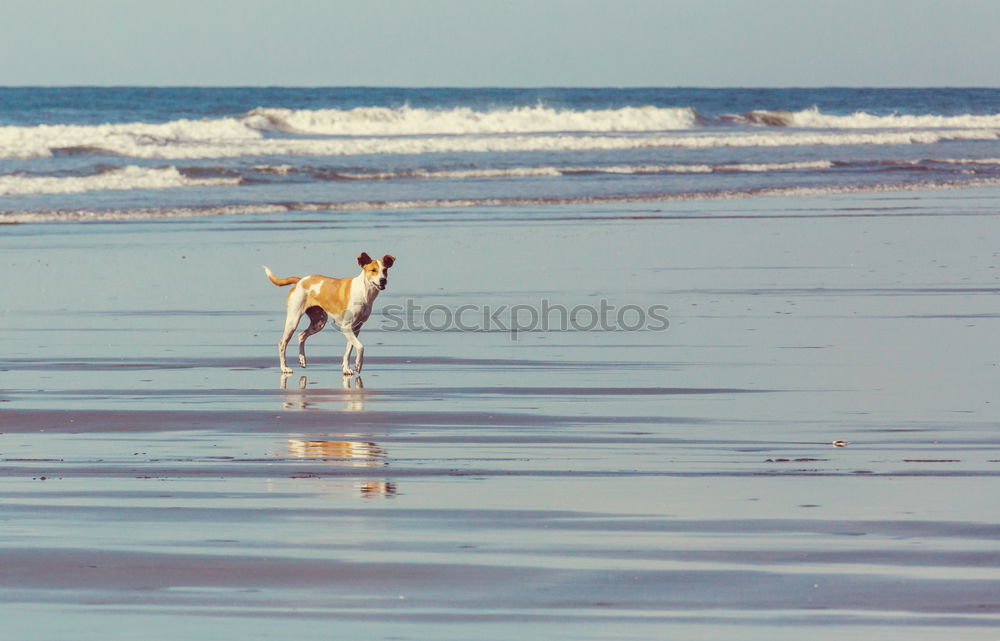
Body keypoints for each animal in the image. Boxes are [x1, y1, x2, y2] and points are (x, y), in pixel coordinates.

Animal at [264, 252, 396, 376]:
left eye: (385, 270)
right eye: (373, 270)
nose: (383, 280)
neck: (363, 292)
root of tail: (300, 281)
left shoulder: (355, 328)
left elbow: (349, 350)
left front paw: (346, 369)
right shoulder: (346, 327)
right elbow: (360, 347)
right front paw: (358, 364)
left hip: (319, 322)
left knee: (301, 335)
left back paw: (302, 360)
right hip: (293, 320)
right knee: (282, 343)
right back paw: (284, 368)